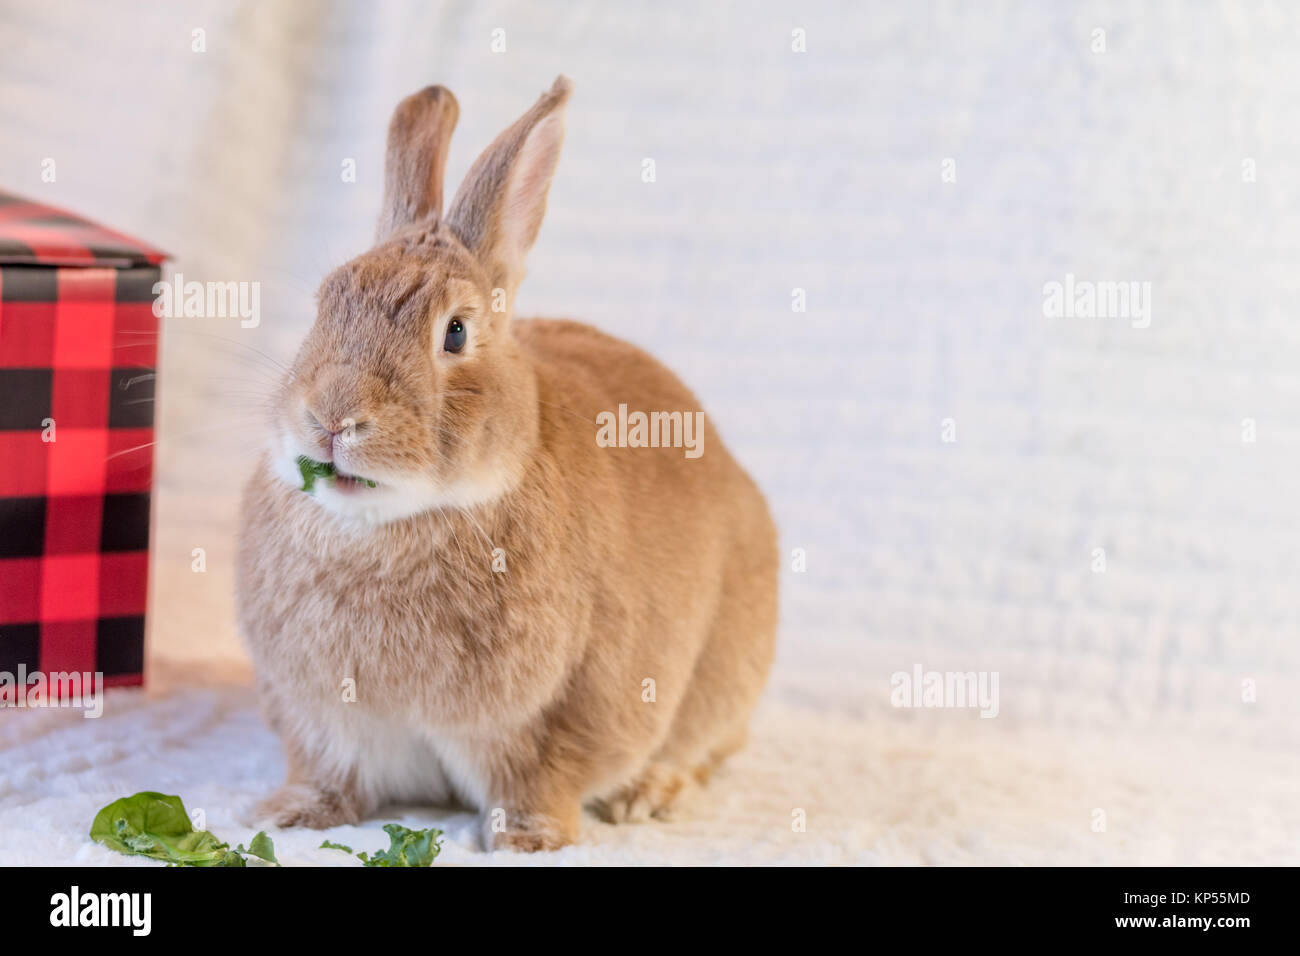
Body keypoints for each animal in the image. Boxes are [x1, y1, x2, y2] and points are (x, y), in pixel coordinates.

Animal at [235, 76, 778, 852]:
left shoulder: (551, 720)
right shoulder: (322, 722)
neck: (394, 522)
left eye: (456, 333)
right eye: (323, 306)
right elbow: (327, 774)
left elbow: (538, 781)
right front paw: (288, 816)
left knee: (706, 749)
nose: (334, 418)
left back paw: (648, 792)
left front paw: (529, 842)